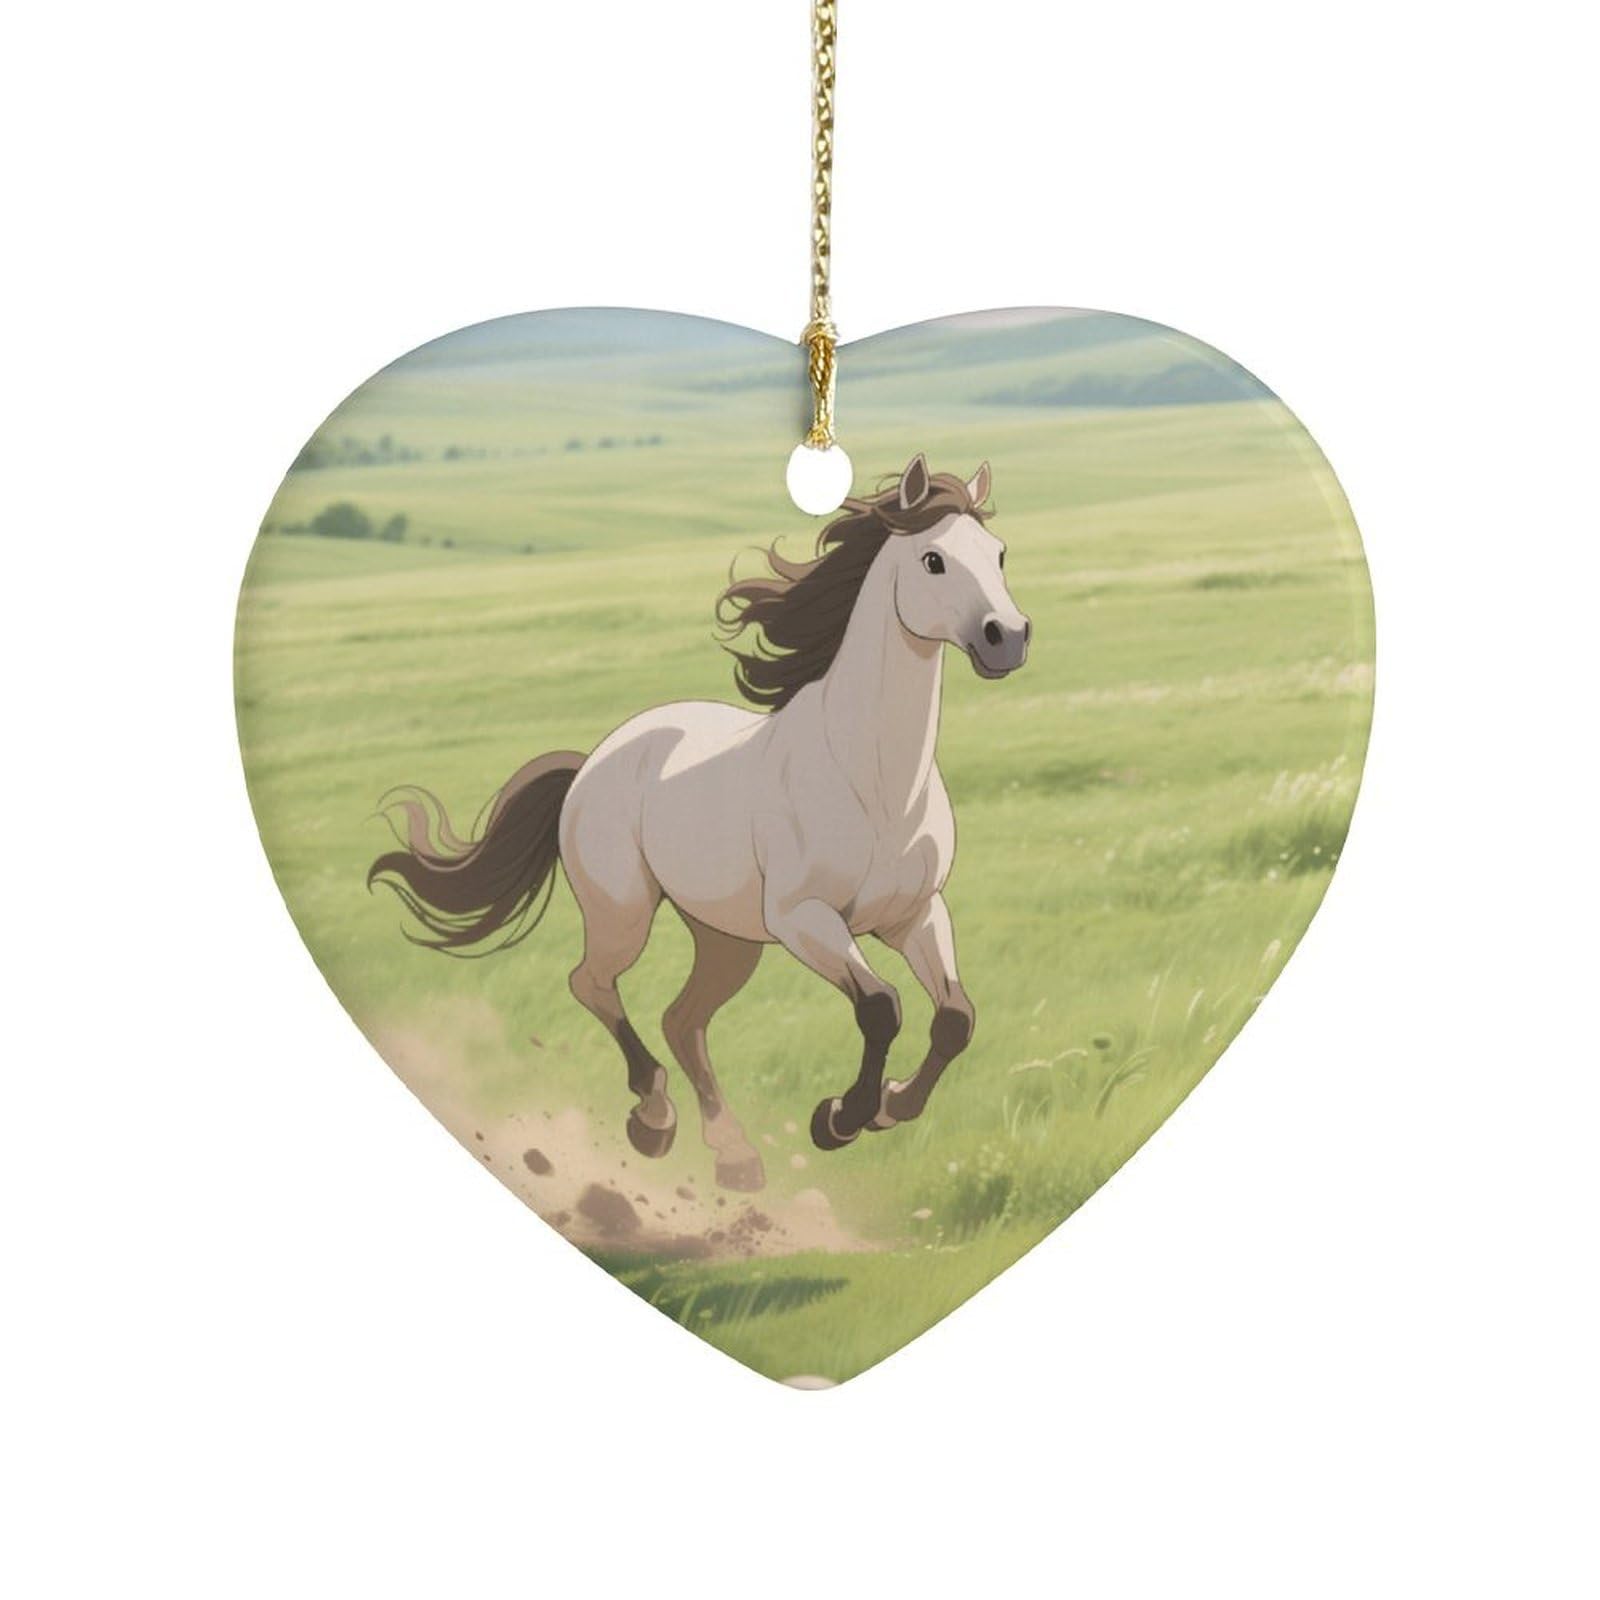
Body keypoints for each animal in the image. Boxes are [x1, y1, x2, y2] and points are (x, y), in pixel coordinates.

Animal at [369, 452, 1031, 1192]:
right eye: (933, 559)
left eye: (999, 554)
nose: (1007, 640)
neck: (875, 780)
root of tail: (593, 762)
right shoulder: (804, 919)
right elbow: (880, 1007)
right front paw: (838, 1119)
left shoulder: (915, 912)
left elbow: (955, 1018)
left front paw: (889, 1106)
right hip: (625, 913)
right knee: (593, 984)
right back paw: (654, 1119)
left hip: (725, 937)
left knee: (682, 1019)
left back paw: (735, 1156)